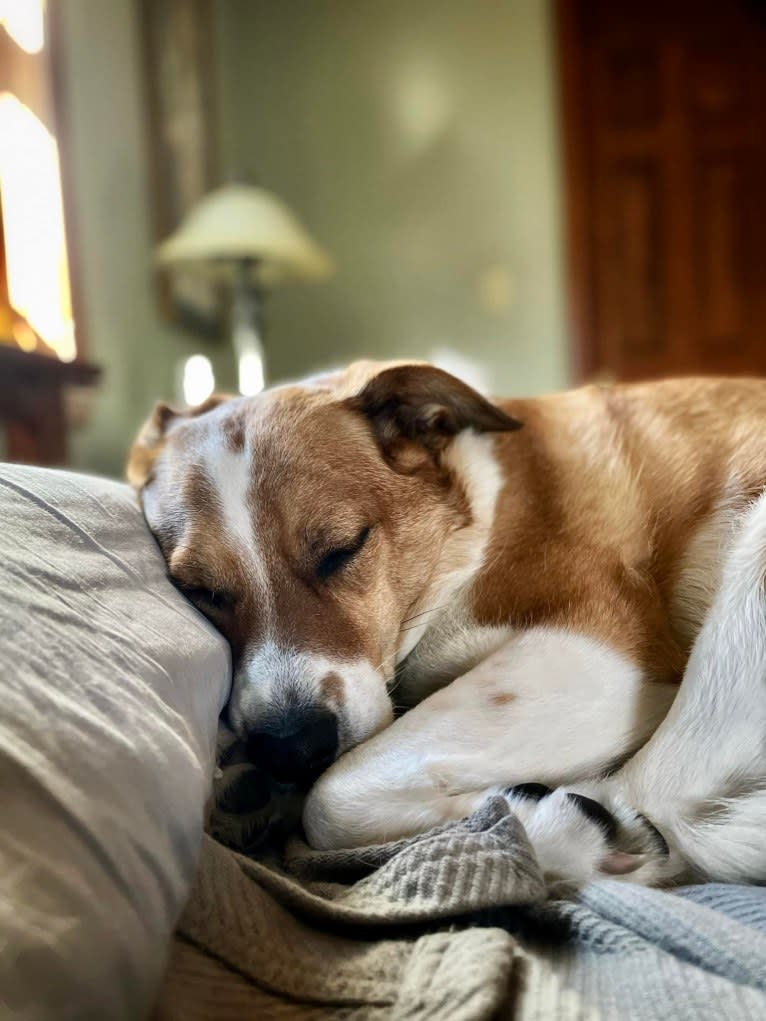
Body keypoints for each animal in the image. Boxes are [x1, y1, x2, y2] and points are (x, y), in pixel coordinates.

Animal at [129, 365, 766, 886]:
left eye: (342, 549)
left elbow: (332, 799)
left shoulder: (599, 648)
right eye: (201, 590)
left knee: (663, 789)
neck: (465, 536)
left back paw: (570, 829)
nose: (291, 749)